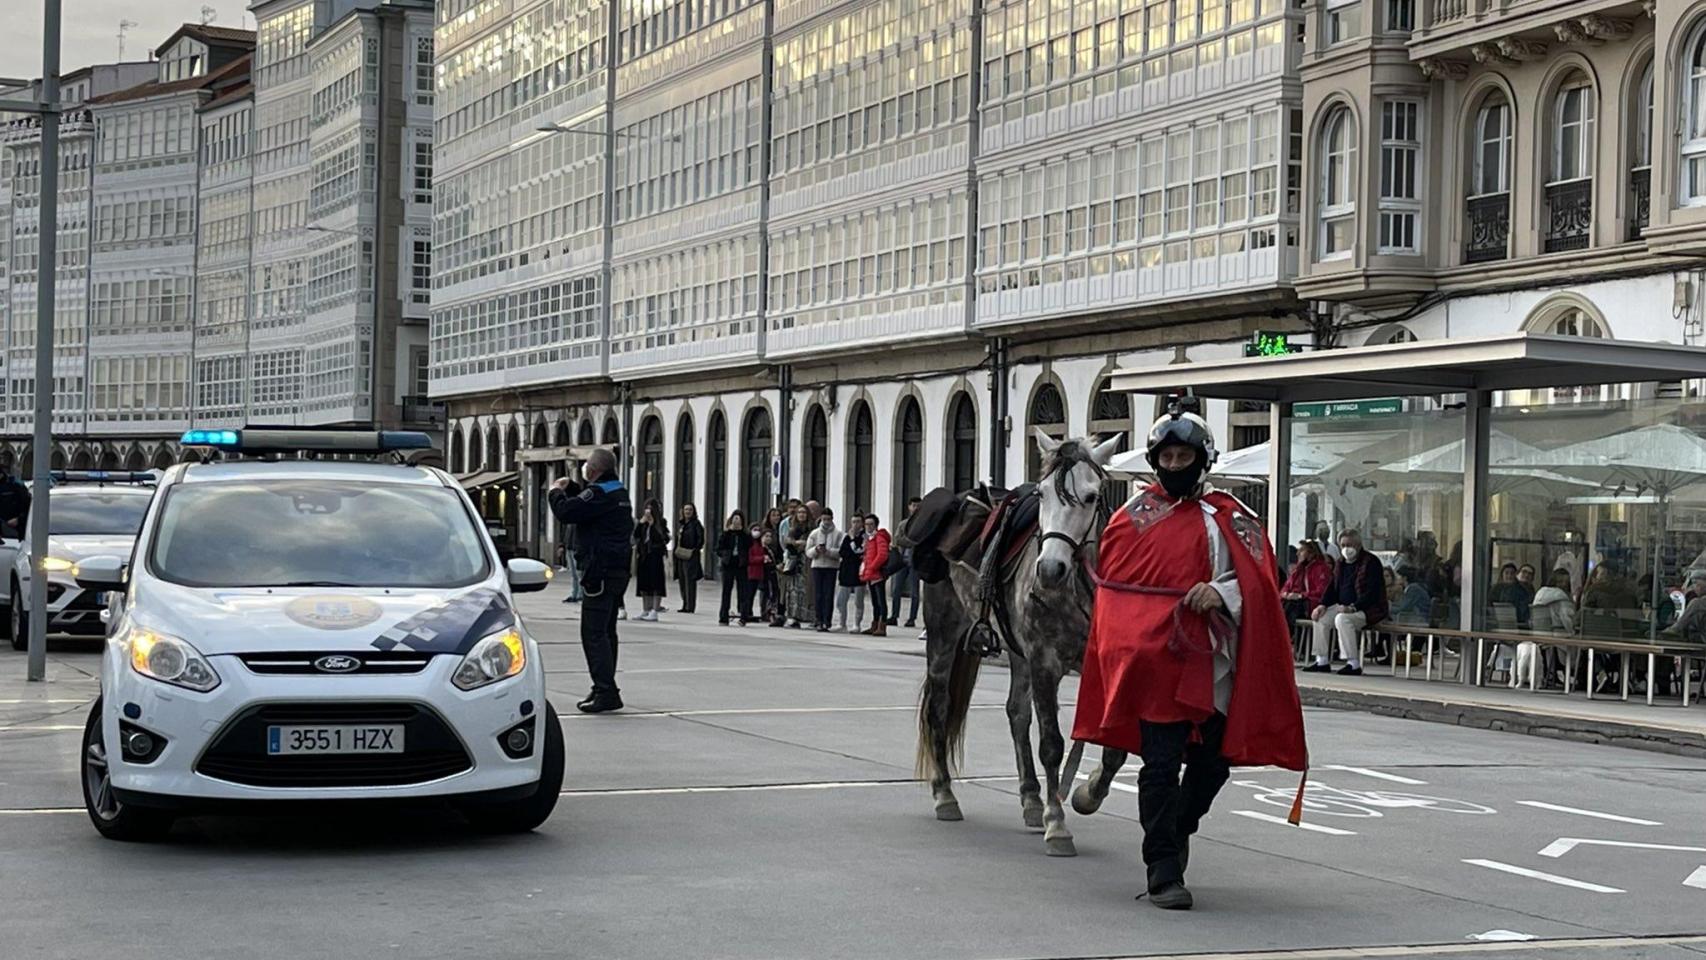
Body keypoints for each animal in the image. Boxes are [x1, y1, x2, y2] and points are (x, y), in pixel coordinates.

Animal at [921, 431, 1132, 859]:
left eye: (1090, 496)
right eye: (1042, 494)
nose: (1050, 570)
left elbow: (1114, 747)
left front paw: (1086, 794)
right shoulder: (1045, 662)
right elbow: (1051, 743)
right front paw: (1058, 824)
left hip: (1019, 655)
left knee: (1016, 713)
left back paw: (1032, 799)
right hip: (944, 634)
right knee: (939, 707)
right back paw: (945, 795)